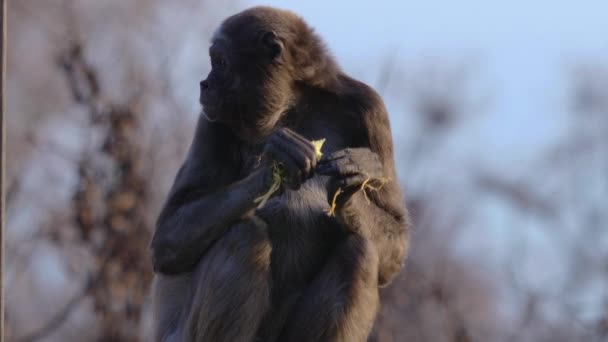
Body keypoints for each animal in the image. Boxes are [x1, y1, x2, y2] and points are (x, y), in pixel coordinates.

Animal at [150, 6, 410, 342]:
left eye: (220, 63)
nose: (205, 84)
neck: (292, 105)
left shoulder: (372, 110)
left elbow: (395, 237)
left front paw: (352, 179)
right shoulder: (211, 121)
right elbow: (169, 237)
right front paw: (278, 161)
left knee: (359, 252)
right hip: (177, 335)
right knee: (243, 235)